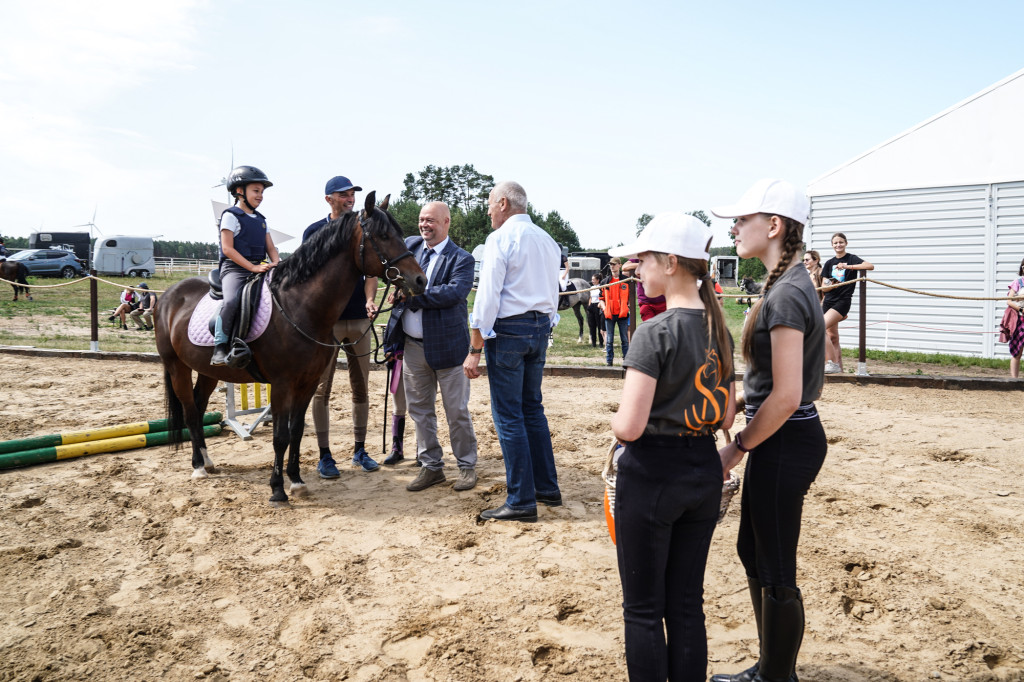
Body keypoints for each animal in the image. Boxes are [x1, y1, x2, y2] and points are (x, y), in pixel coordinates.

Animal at [154, 193, 423, 501]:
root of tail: (169, 295)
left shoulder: (308, 382)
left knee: (198, 408)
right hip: (177, 366)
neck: (299, 307)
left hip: (208, 370)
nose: (420, 280)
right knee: (188, 410)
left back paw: (208, 461)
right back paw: (198, 466)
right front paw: (277, 489)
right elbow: (280, 436)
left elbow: (295, 431)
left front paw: (295, 480)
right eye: (384, 235)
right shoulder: (282, 384)